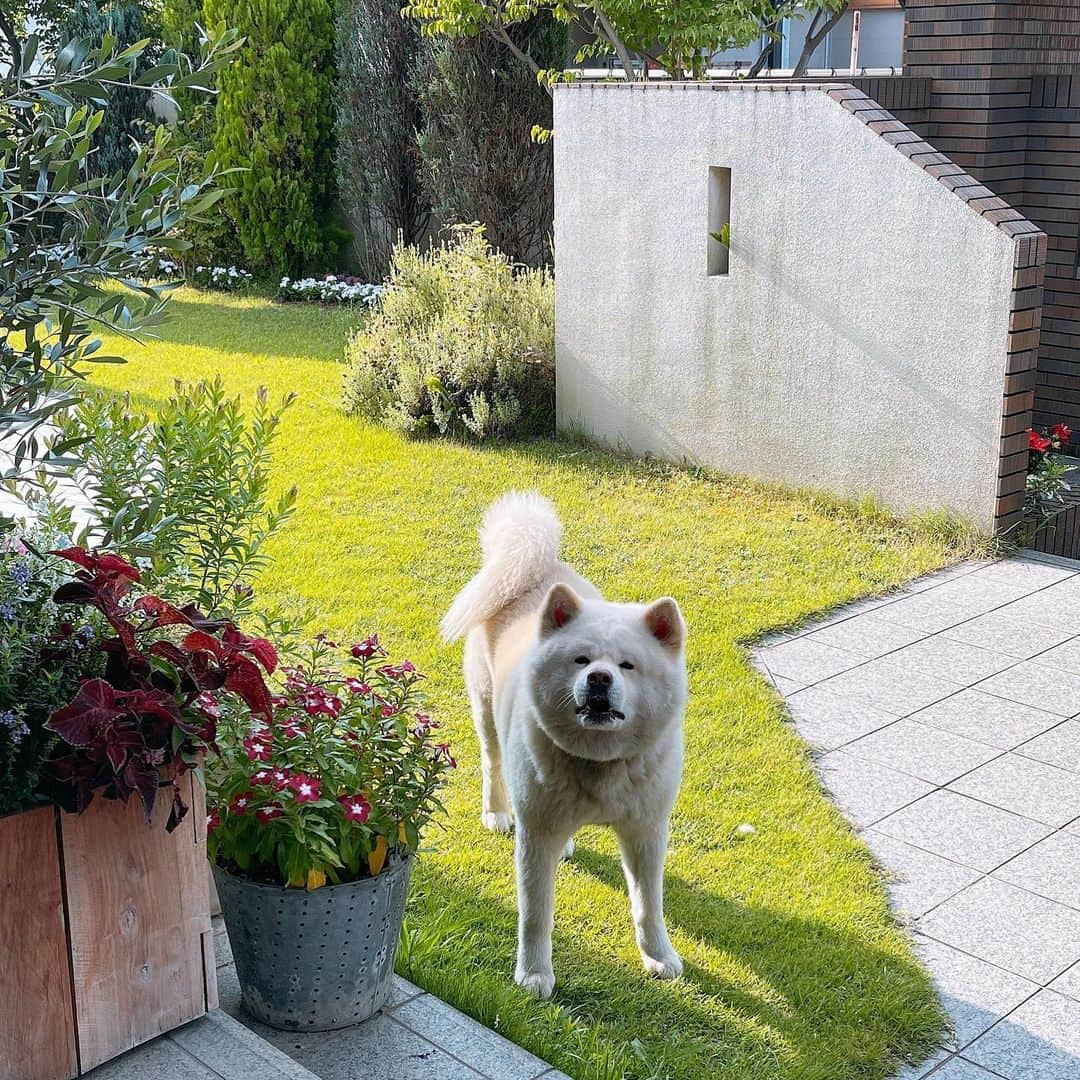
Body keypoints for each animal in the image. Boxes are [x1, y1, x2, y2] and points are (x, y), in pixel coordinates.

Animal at [442, 494, 686, 997]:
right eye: (581, 660)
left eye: (627, 665)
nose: (598, 678)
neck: (600, 762)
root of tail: (533, 567)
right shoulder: (536, 836)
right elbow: (536, 914)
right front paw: (534, 973)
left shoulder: (646, 831)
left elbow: (648, 906)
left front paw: (659, 956)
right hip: (487, 713)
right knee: (492, 764)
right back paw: (496, 811)